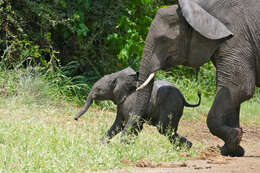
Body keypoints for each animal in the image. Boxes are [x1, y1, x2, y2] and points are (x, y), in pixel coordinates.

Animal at [73, 67, 201, 147]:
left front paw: (124, 146)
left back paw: (184, 149)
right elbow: (119, 124)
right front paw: (102, 146)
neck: (118, 77)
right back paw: (186, 148)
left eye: (98, 89)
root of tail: (183, 98)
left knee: (165, 129)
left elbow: (133, 124)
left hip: (171, 106)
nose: (75, 119)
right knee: (168, 131)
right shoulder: (122, 103)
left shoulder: (131, 102)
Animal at [122, 0, 260, 157]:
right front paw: (232, 150)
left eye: (164, 40)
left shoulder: (237, 39)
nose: (124, 143)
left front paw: (235, 138)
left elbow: (238, 88)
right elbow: (233, 94)